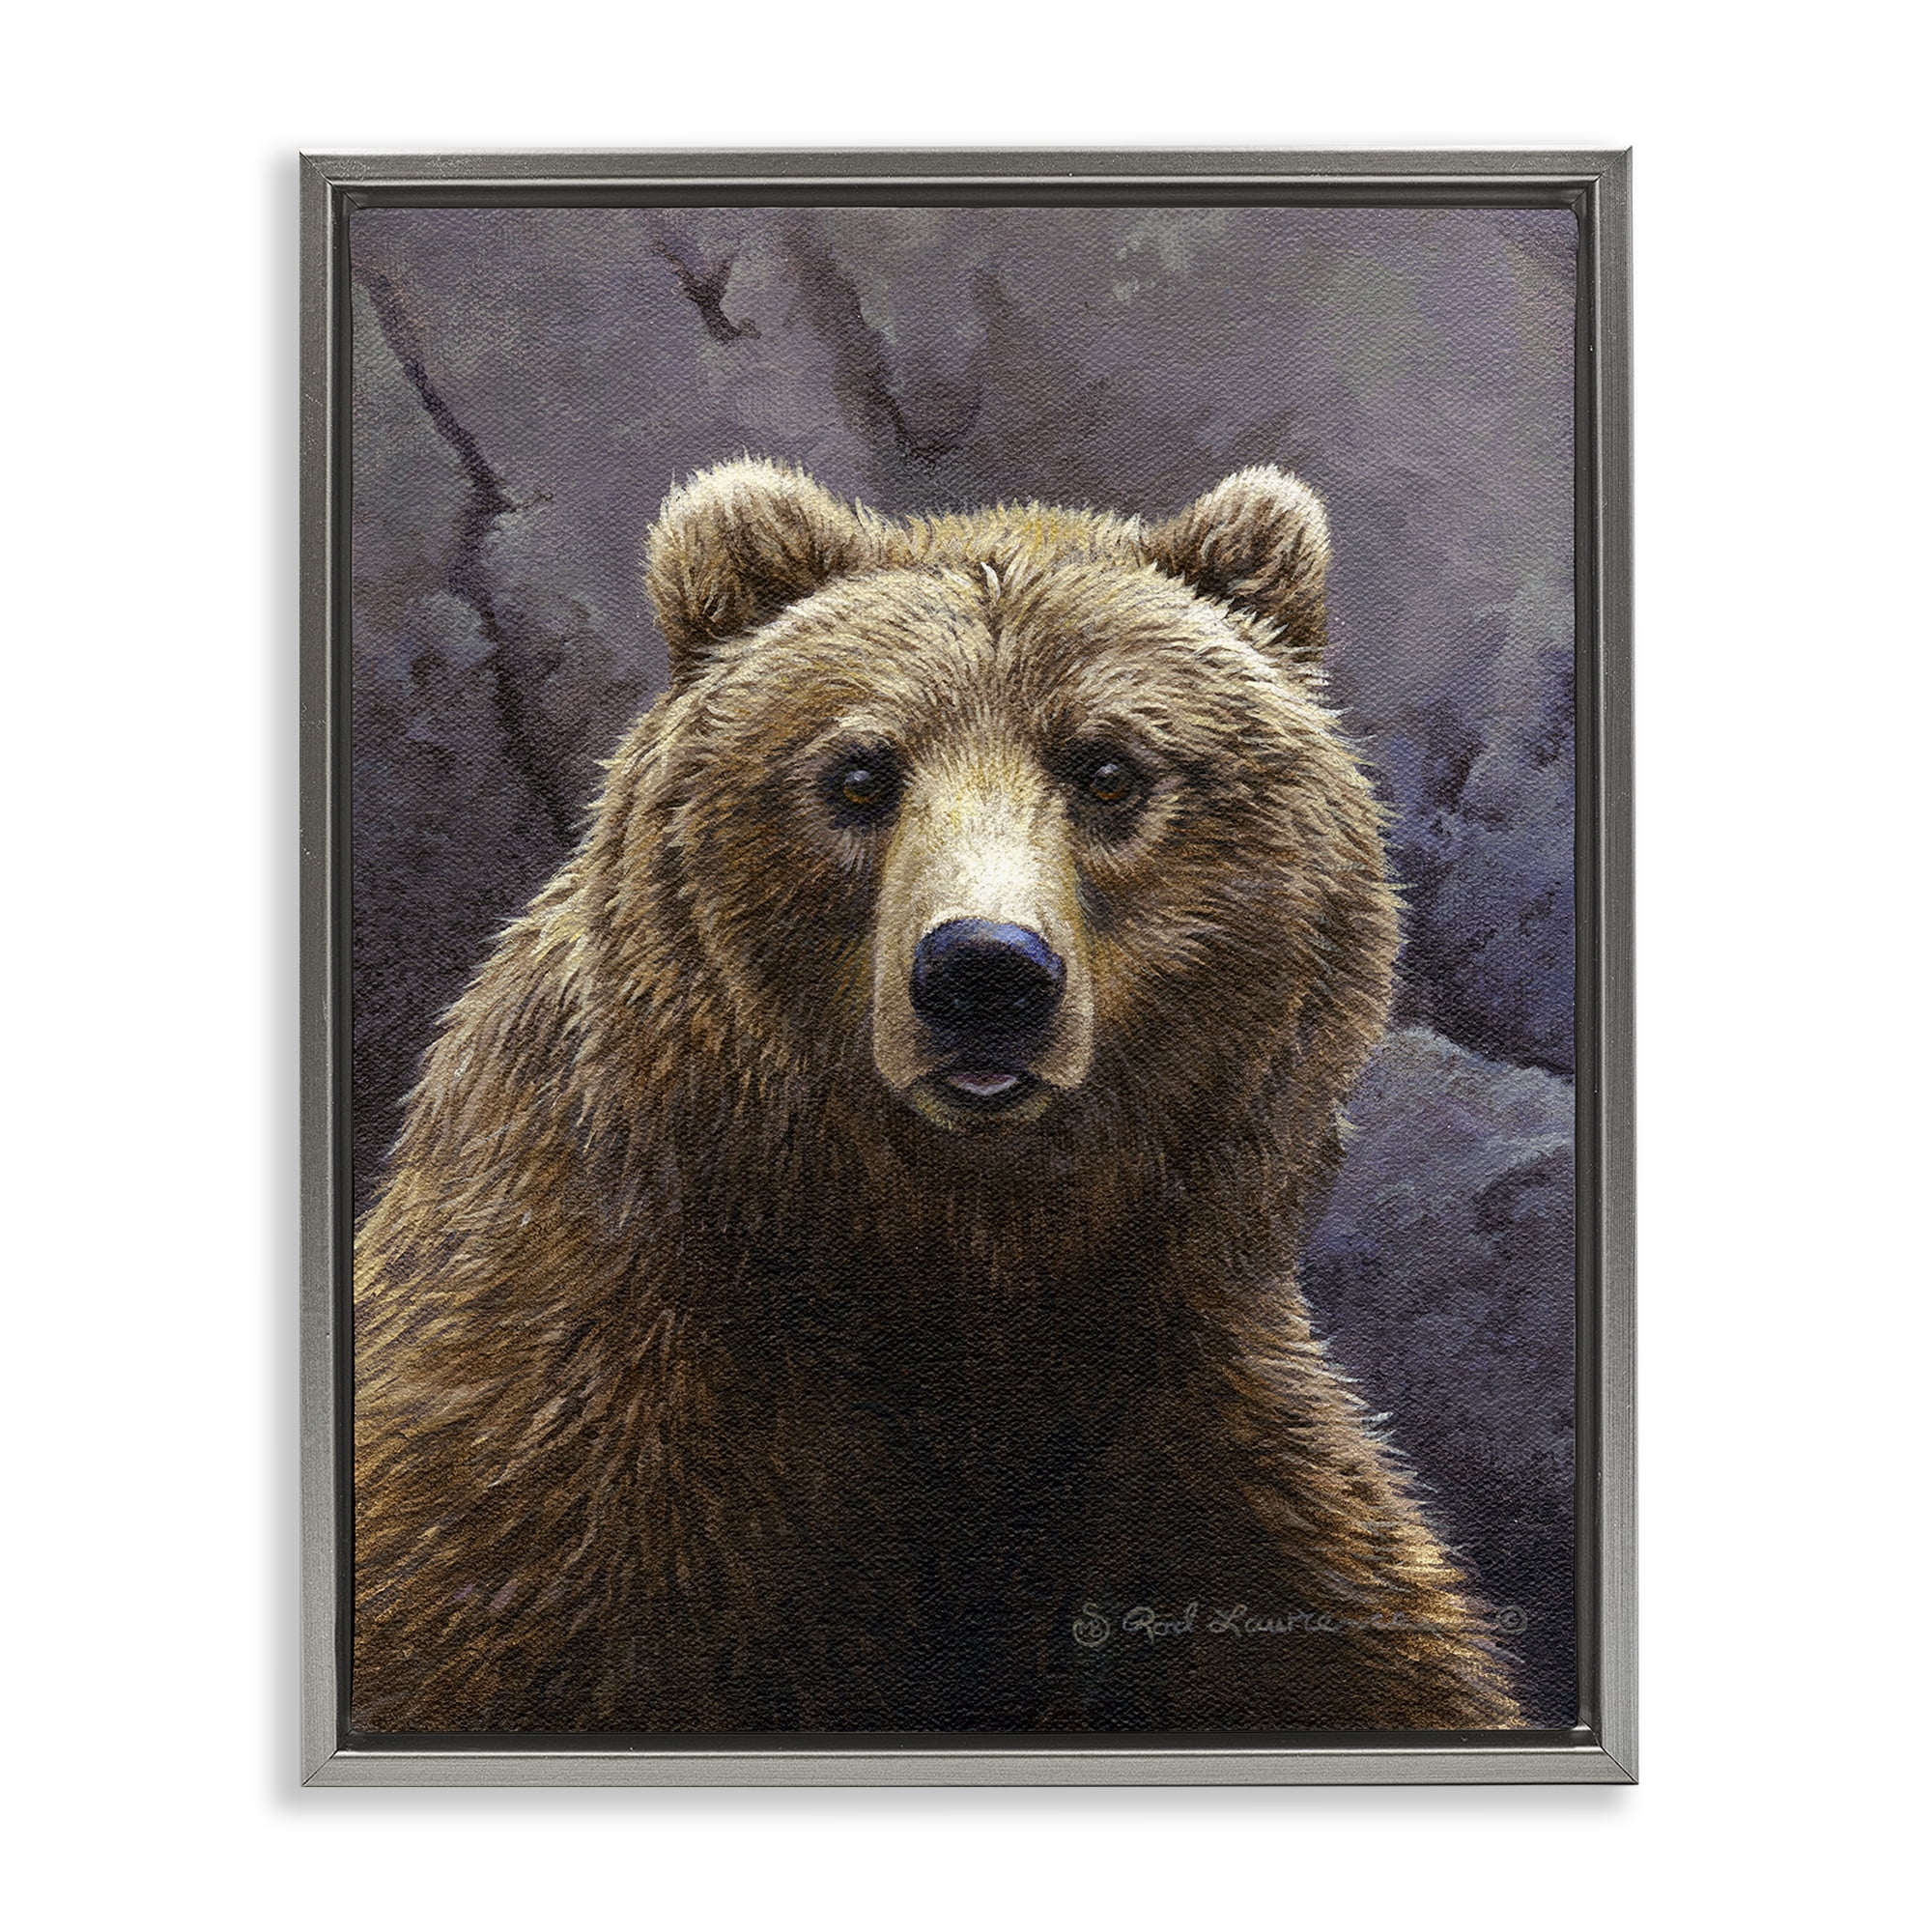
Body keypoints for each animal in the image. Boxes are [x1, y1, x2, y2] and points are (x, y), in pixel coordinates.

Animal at [351, 457, 1523, 1735]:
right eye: (859, 773)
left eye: (1107, 769)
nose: (984, 969)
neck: (956, 1254)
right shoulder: (570, 1440)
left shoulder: (1189, 1422)